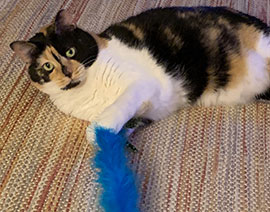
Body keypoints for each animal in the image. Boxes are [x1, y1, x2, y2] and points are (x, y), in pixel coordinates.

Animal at [9, 7, 270, 133]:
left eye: (71, 51)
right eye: (48, 66)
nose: (68, 73)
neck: (87, 89)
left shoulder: (142, 83)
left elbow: (119, 106)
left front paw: (98, 132)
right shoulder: (144, 115)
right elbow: (130, 122)